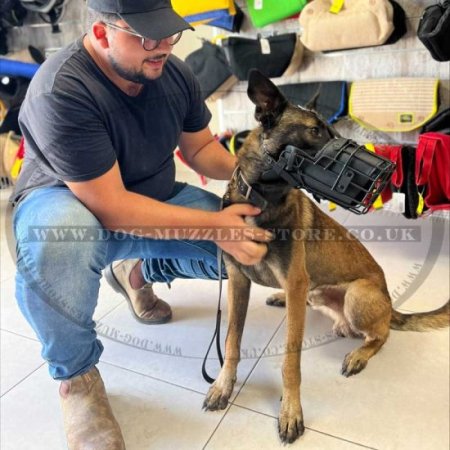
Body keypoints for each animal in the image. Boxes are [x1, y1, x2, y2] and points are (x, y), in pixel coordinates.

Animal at [203, 70, 450, 442]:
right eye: (316, 131)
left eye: (332, 131)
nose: (385, 174)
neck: (262, 200)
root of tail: (390, 305)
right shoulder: (237, 282)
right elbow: (231, 342)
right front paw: (222, 386)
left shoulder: (294, 280)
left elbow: (290, 361)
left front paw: (290, 410)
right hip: (316, 291)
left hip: (357, 296)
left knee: (382, 335)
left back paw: (359, 355)